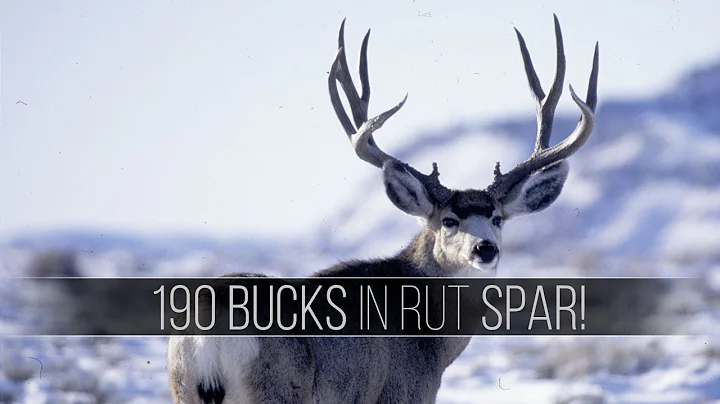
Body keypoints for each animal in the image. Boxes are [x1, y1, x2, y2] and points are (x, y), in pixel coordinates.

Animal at [168, 15, 599, 404]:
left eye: (497, 218)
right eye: (449, 220)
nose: (485, 248)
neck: (429, 336)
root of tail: (209, 333)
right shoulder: (403, 392)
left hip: (184, 389)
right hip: (275, 390)